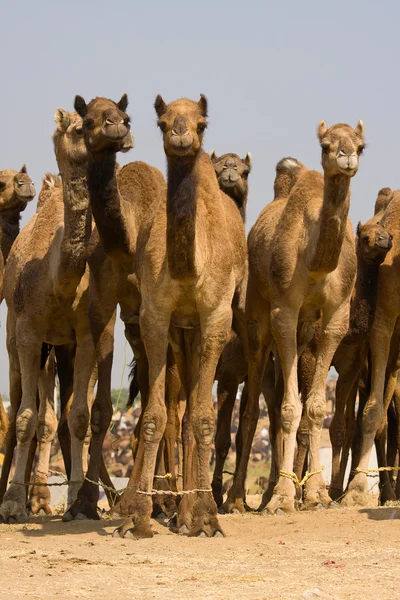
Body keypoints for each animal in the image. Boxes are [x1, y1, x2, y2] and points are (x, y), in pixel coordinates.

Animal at [223, 119, 364, 512]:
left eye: (361, 144)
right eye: (326, 144)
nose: (346, 157)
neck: (314, 261)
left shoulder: (334, 318)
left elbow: (314, 407)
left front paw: (316, 495)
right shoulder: (284, 312)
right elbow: (288, 408)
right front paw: (284, 498)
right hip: (257, 321)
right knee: (252, 410)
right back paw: (238, 498)